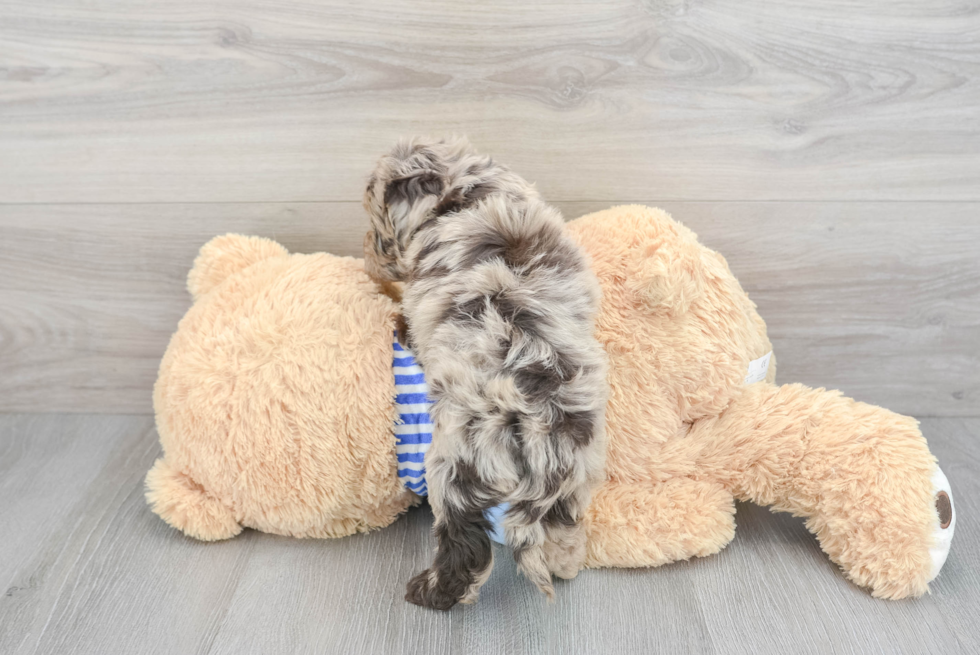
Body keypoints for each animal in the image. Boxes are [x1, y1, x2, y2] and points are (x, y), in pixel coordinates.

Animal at [362, 136, 604, 612]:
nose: (368, 252)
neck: (466, 194)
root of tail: (541, 421)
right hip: (574, 475)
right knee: (562, 525)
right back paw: (565, 565)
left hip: (456, 464)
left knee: (466, 542)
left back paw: (431, 592)